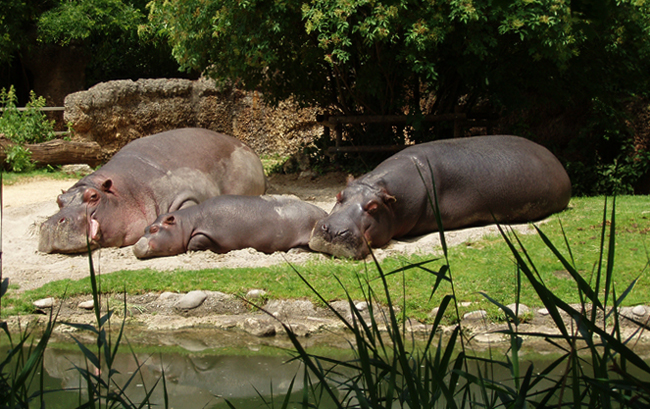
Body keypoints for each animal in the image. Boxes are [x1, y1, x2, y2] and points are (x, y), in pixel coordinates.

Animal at [38, 128, 266, 255]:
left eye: (93, 197)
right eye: (59, 199)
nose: (51, 224)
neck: (123, 191)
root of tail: (247, 147)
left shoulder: (184, 194)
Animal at [132, 194, 326, 258]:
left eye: (154, 229)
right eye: (145, 228)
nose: (134, 247)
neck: (185, 223)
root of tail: (324, 213)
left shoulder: (207, 232)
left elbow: (195, 241)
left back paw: (294, 251)